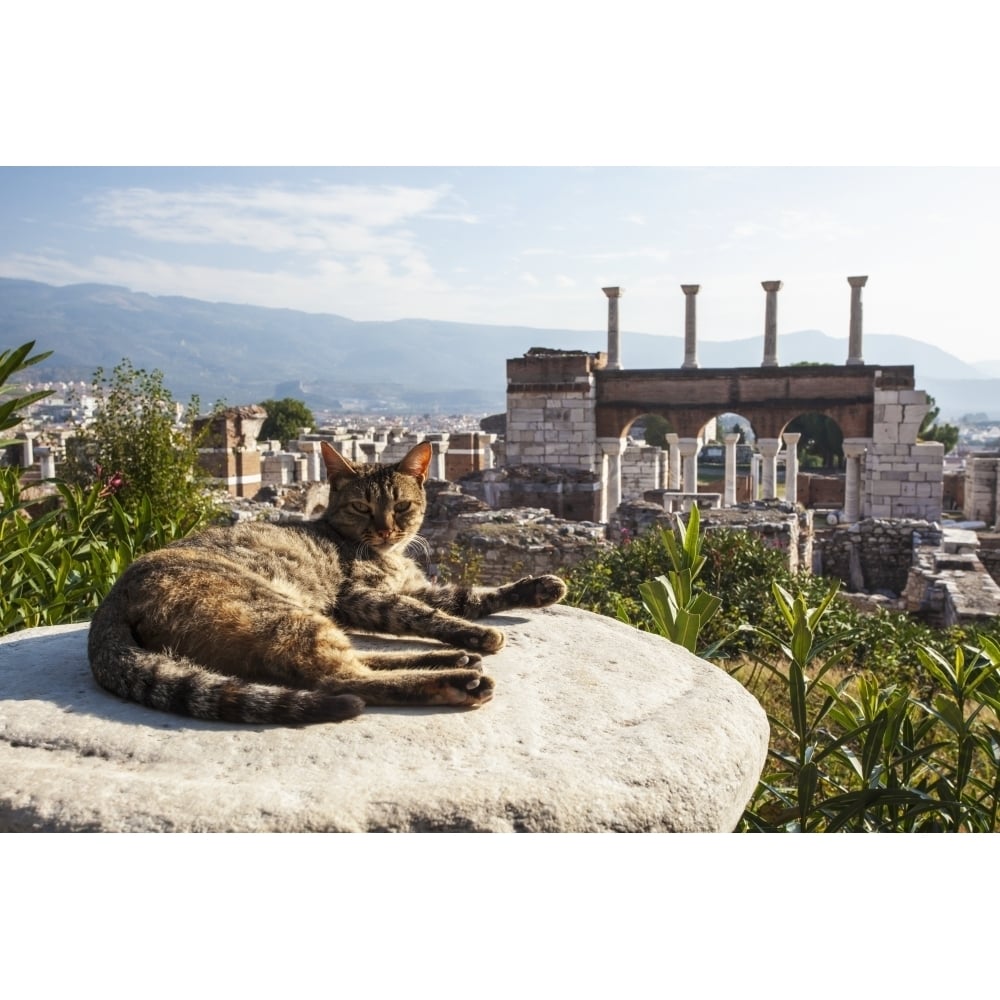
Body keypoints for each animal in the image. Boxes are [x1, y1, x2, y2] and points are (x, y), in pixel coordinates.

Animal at [85, 442, 568, 724]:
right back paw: (457, 679)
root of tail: (111, 600)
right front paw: (478, 634)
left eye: (402, 506)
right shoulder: (360, 597)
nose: (386, 529)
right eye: (360, 507)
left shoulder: (415, 586)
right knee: (341, 679)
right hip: (280, 612)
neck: (388, 555)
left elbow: (467, 596)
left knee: (354, 662)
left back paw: (451, 660)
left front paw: (539, 588)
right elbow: (425, 614)